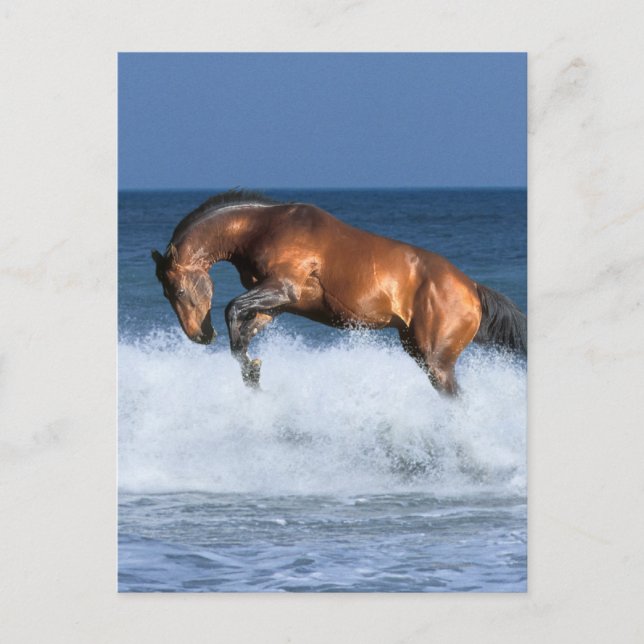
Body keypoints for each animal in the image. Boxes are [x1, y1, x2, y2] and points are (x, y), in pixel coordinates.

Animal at [152, 189, 526, 395]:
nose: (199, 336)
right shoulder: (275, 305)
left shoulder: (282, 288)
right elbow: (243, 332)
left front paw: (251, 370)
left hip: (436, 361)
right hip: (417, 350)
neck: (263, 227)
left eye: (179, 290)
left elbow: (231, 308)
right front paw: (252, 373)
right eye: (166, 294)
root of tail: (472, 288)